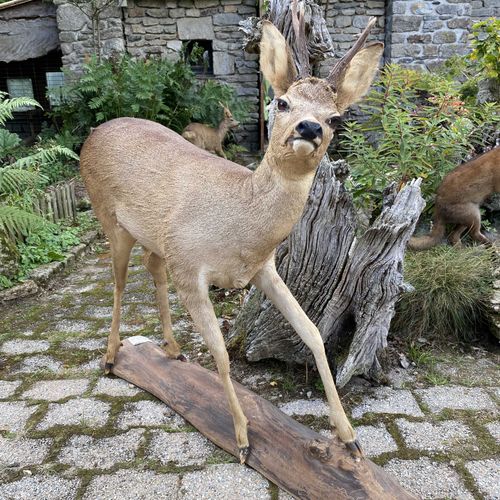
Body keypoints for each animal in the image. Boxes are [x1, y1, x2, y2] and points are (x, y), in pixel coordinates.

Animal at [80, 11, 382, 462]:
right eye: (282, 102)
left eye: (335, 117)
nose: (309, 128)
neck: (240, 222)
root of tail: (92, 134)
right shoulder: (191, 268)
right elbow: (221, 353)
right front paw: (242, 438)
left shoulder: (262, 269)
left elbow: (313, 334)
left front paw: (349, 436)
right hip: (110, 219)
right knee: (117, 282)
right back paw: (111, 356)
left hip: (157, 239)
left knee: (153, 267)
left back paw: (172, 348)